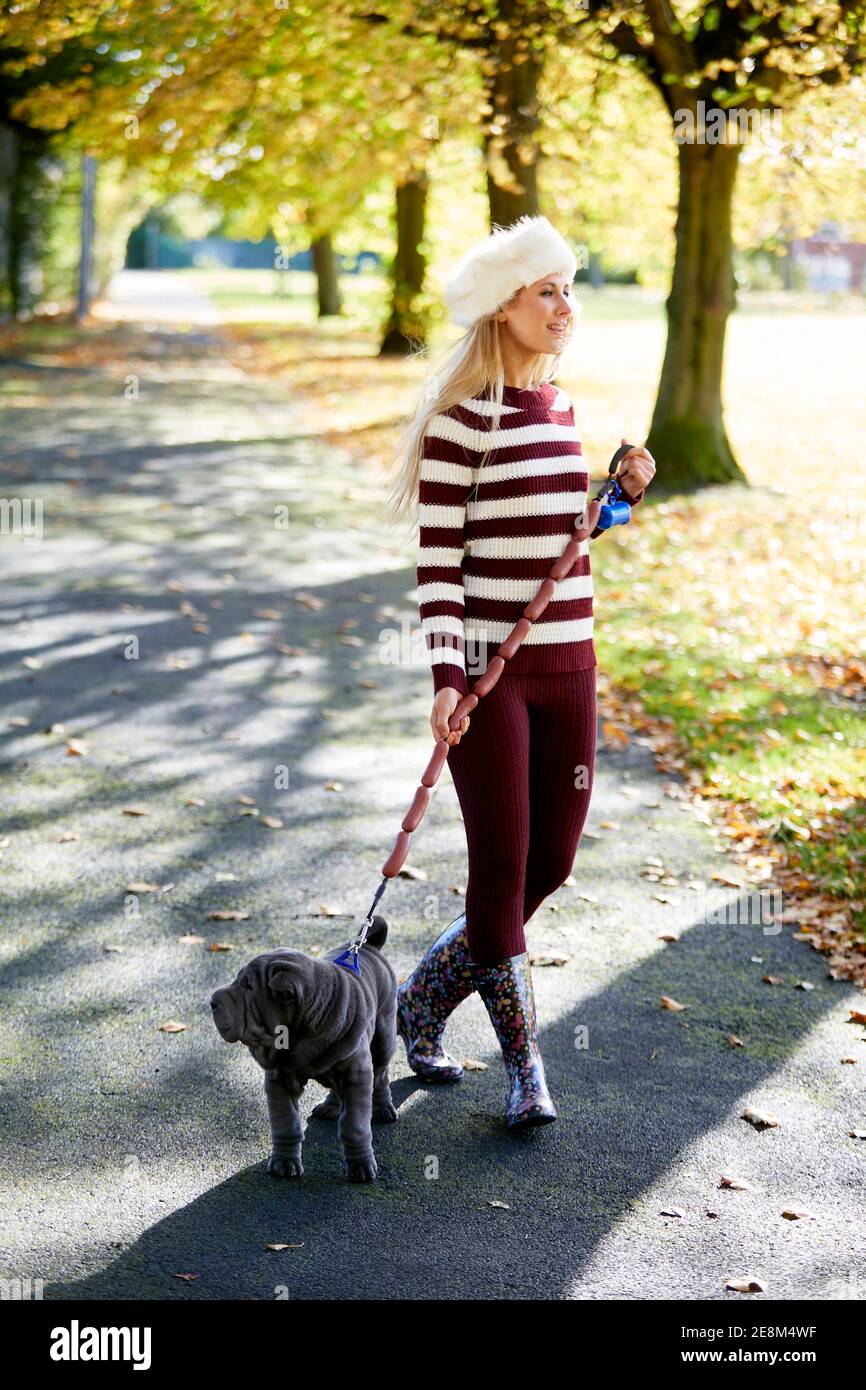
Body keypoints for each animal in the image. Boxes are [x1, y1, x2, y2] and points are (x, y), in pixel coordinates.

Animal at [209, 917, 400, 1178]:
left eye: (248, 987)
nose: (212, 1001)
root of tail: (369, 947)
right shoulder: (279, 1079)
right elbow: (285, 1122)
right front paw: (284, 1162)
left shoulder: (357, 1074)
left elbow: (354, 1126)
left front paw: (361, 1165)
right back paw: (330, 1106)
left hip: (383, 1035)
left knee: (381, 1074)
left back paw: (382, 1107)